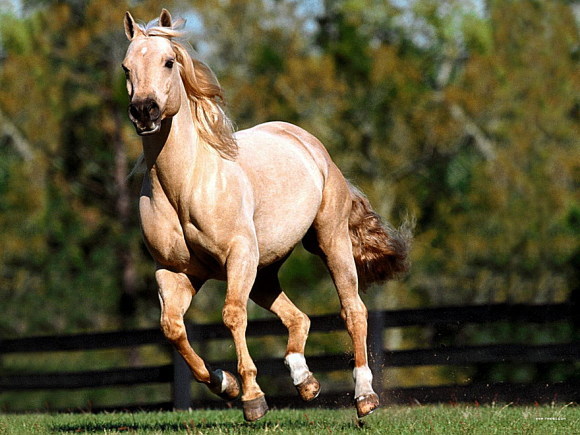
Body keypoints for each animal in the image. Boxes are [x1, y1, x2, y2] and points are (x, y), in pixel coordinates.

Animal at [123, 8, 412, 420]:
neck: (185, 184)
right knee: (298, 317)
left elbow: (231, 315)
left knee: (353, 310)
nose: (144, 110)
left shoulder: (238, 256)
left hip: (330, 241)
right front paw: (225, 384)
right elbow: (172, 328)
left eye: (168, 61)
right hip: (264, 270)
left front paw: (252, 398)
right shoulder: (174, 272)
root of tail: (310, 144)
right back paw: (305, 382)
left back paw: (364, 396)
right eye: (126, 67)